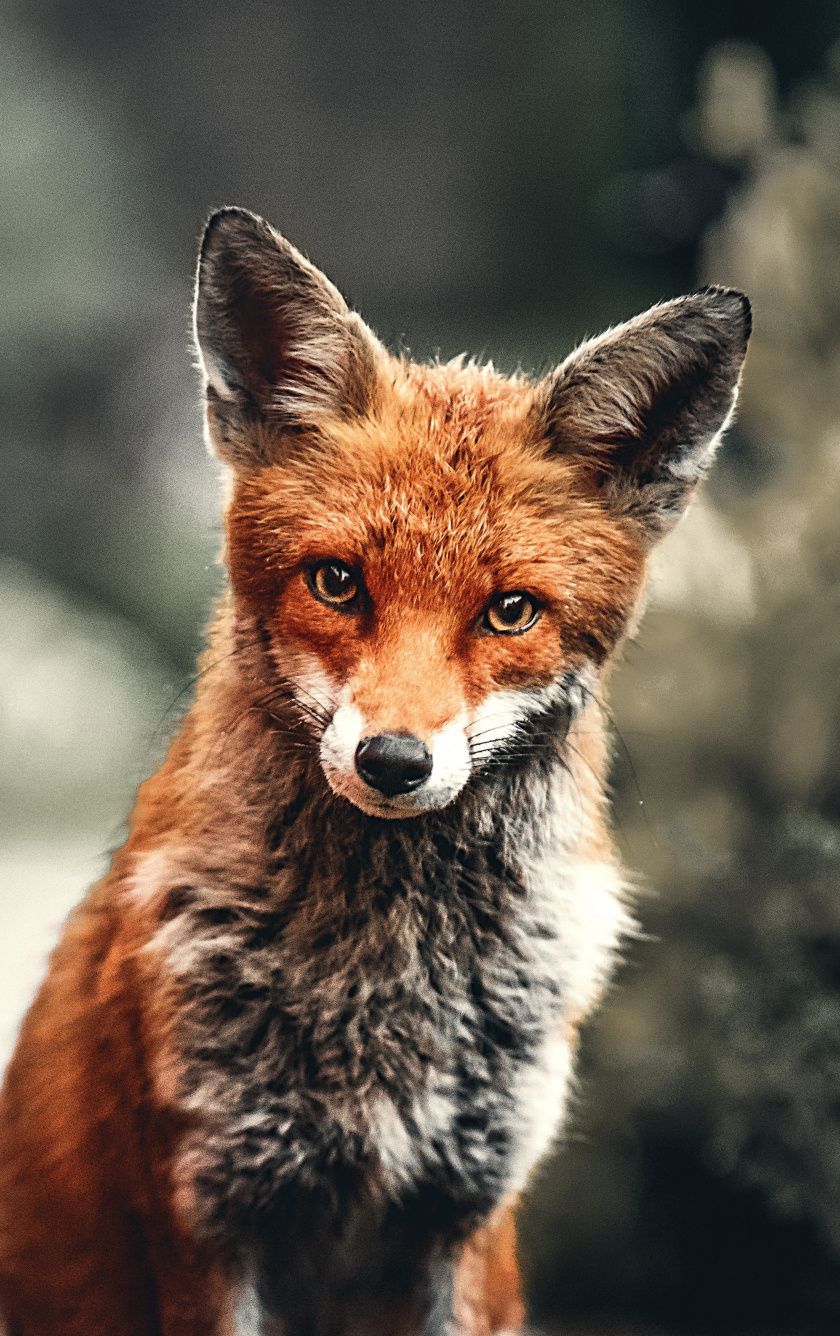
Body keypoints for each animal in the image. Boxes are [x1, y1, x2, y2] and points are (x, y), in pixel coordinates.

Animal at [0, 206, 750, 1336]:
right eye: (337, 582)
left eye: (511, 610)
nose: (393, 760)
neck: (389, 985)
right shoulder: (207, 1214)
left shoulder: (469, 1218)